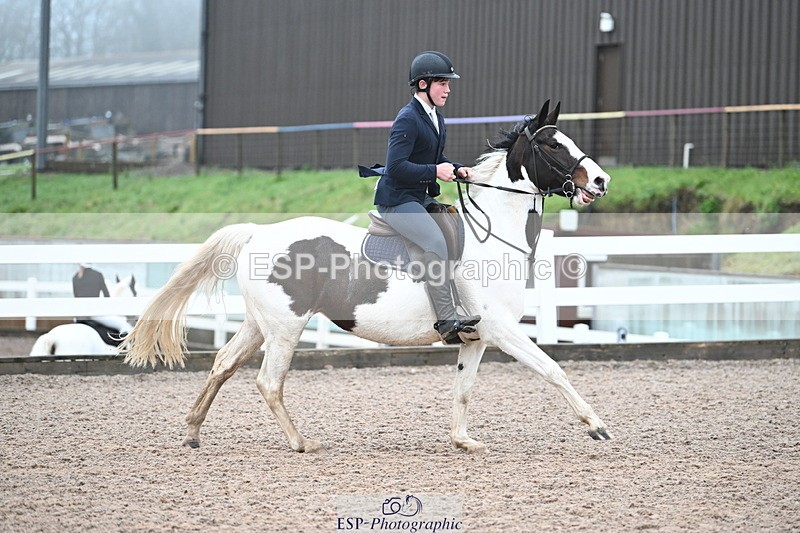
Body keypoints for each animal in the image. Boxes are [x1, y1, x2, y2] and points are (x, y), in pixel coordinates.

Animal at [123, 100, 613, 453]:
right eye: (554, 145)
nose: (602, 181)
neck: (491, 234)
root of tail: (258, 231)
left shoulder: (477, 338)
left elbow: (463, 390)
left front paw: (463, 441)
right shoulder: (503, 328)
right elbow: (553, 370)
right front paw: (597, 426)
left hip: (259, 324)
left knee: (223, 364)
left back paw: (192, 432)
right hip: (286, 327)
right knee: (268, 382)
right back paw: (302, 443)